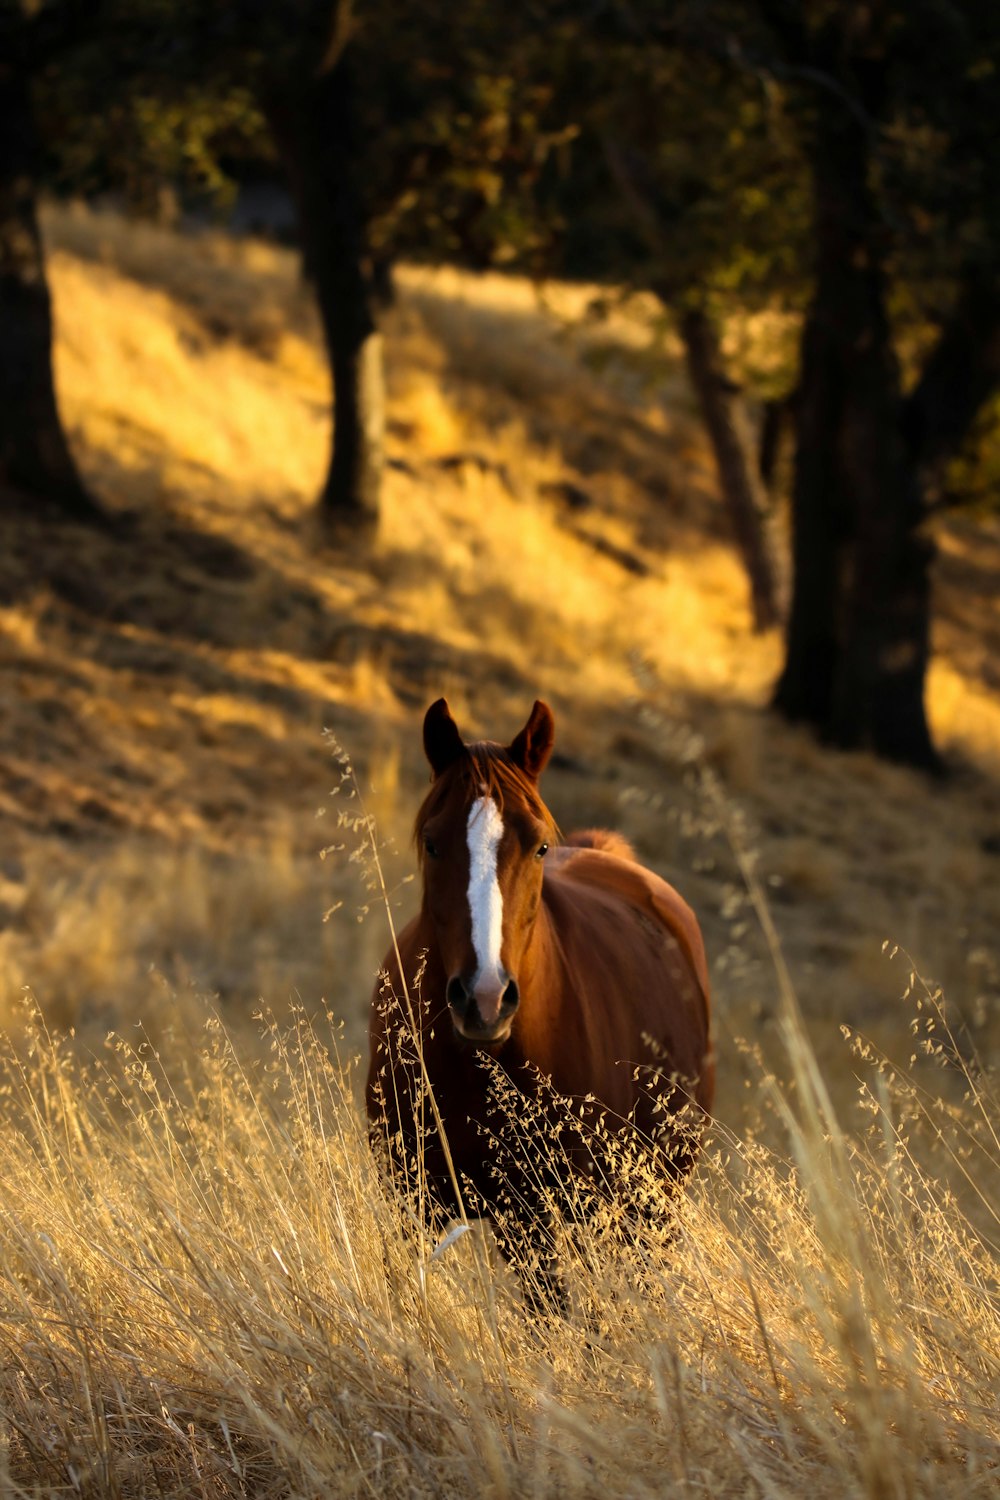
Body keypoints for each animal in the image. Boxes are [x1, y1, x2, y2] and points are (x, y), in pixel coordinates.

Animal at [367, 696, 710, 1296]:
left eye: (540, 846)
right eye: (432, 843)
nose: (483, 998)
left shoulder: (536, 1219)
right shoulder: (410, 1199)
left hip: (646, 1208)